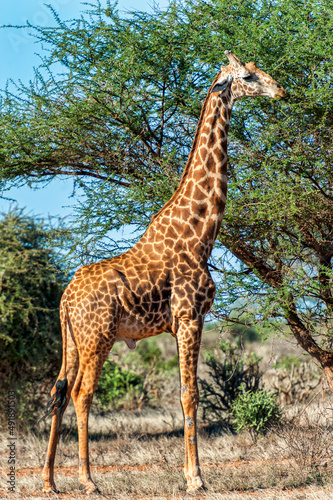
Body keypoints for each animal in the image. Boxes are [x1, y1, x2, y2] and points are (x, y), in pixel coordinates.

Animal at [42, 48, 286, 494]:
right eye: (248, 76)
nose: (280, 90)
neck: (200, 233)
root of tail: (66, 298)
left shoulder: (179, 324)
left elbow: (185, 393)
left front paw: (191, 475)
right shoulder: (190, 316)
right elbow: (191, 395)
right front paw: (196, 480)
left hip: (71, 339)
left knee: (59, 391)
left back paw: (50, 481)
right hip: (98, 337)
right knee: (83, 394)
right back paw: (88, 480)